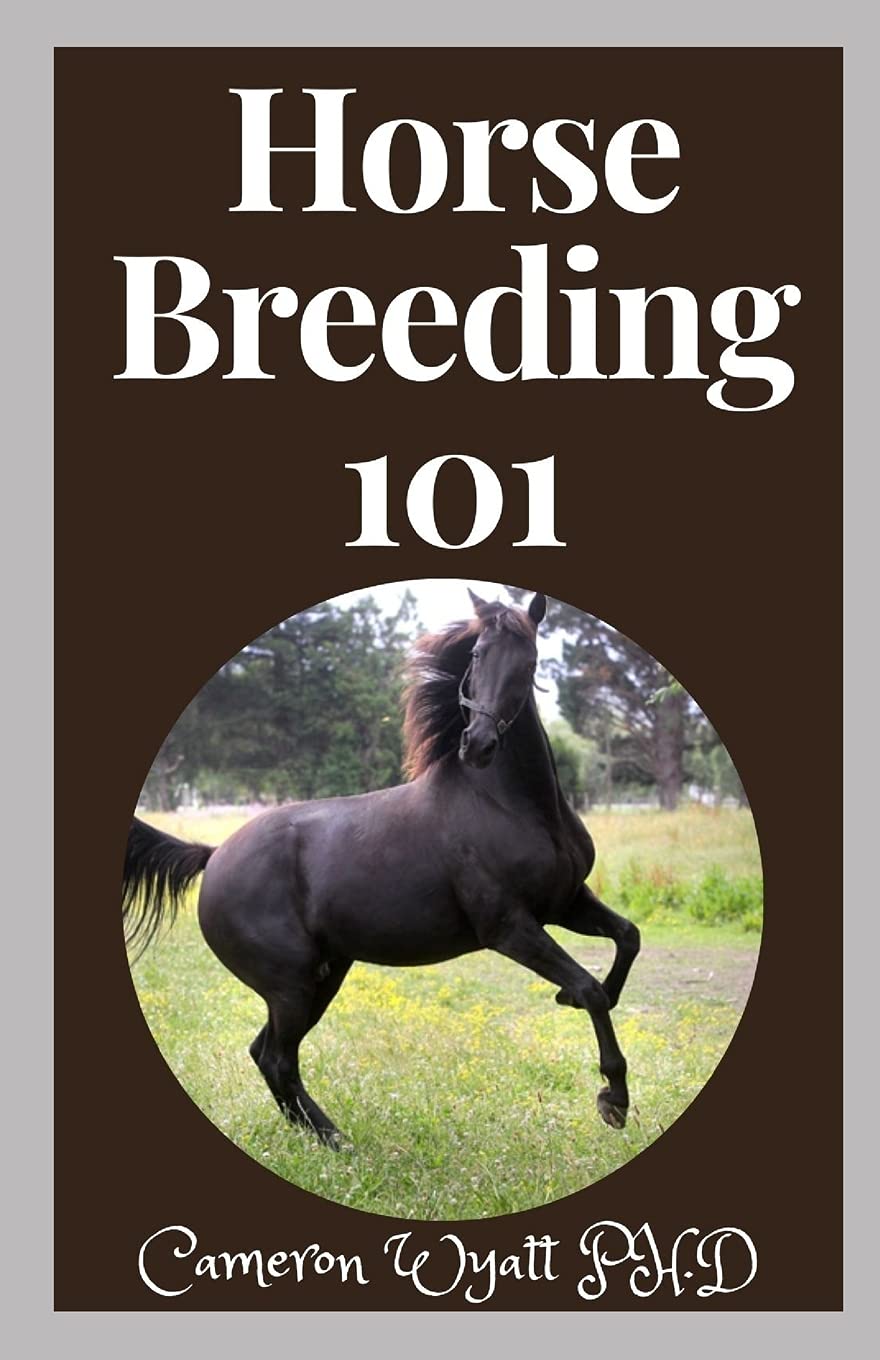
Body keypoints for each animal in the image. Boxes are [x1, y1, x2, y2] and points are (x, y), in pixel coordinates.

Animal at [123, 590, 641, 1147]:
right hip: (290, 986)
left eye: (529, 664)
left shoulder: (567, 902)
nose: (478, 745)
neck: (508, 804)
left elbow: (626, 940)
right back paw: (335, 1142)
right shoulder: (508, 928)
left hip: (323, 977)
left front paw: (581, 1004)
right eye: (477, 654)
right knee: (279, 1059)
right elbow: (590, 989)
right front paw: (613, 1099)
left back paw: (322, 1137)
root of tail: (215, 854)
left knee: (265, 1054)